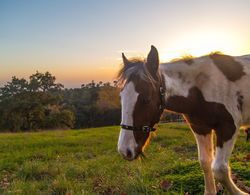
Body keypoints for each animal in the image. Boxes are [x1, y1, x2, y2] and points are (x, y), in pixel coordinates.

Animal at [117, 46, 250, 195]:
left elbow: (220, 169)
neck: (202, 88)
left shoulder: (228, 127)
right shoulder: (200, 128)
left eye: (146, 99)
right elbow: (205, 162)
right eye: (121, 96)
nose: (125, 151)